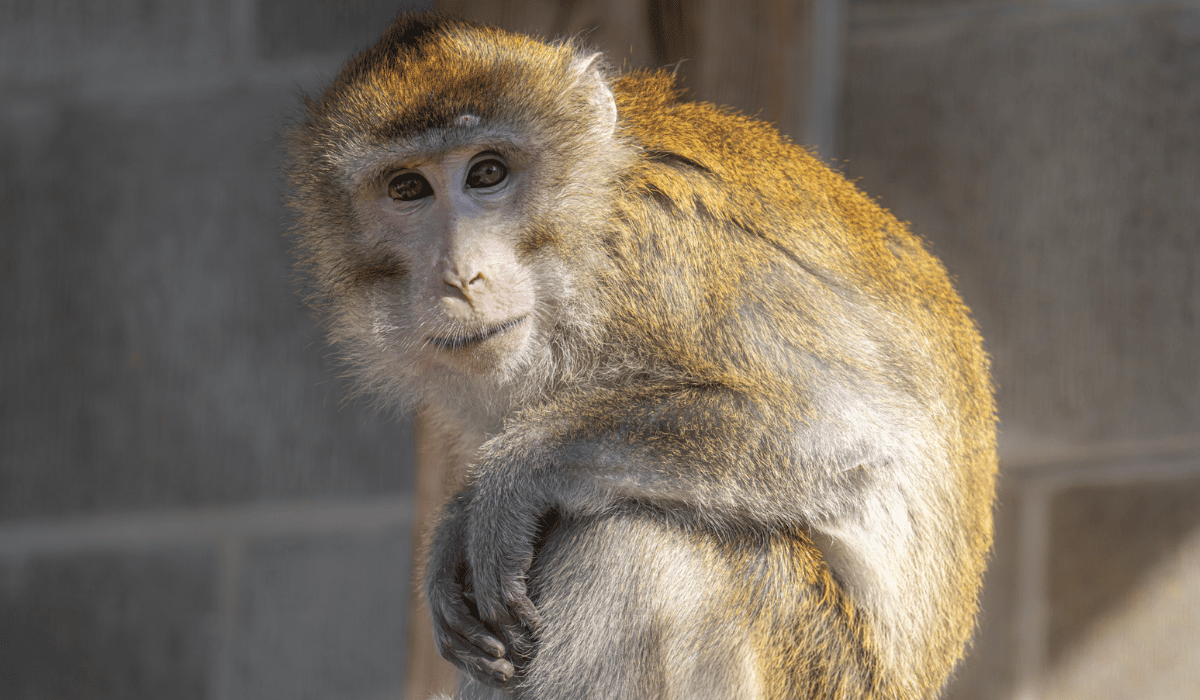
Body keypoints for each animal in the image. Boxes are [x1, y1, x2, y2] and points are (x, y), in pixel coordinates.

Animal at [285, 12, 996, 700]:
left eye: (487, 173)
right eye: (408, 188)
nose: (460, 276)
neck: (587, 230)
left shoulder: (666, 257)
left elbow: (852, 427)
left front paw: (509, 479)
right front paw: (456, 524)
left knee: (641, 535)